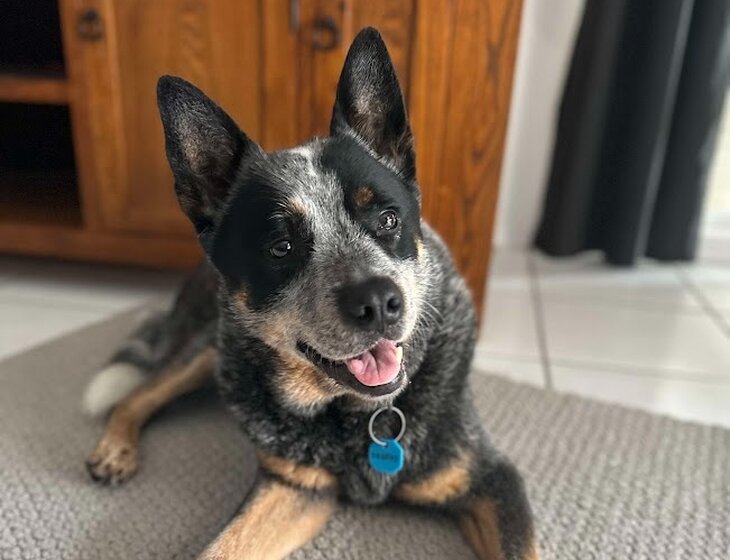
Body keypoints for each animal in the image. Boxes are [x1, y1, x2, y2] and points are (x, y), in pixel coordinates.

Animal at [83, 28, 538, 560]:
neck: (359, 416)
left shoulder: (492, 479)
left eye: (388, 219)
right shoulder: (294, 485)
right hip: (211, 349)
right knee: (137, 394)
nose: (379, 302)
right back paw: (115, 448)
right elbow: (221, 547)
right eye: (281, 247)